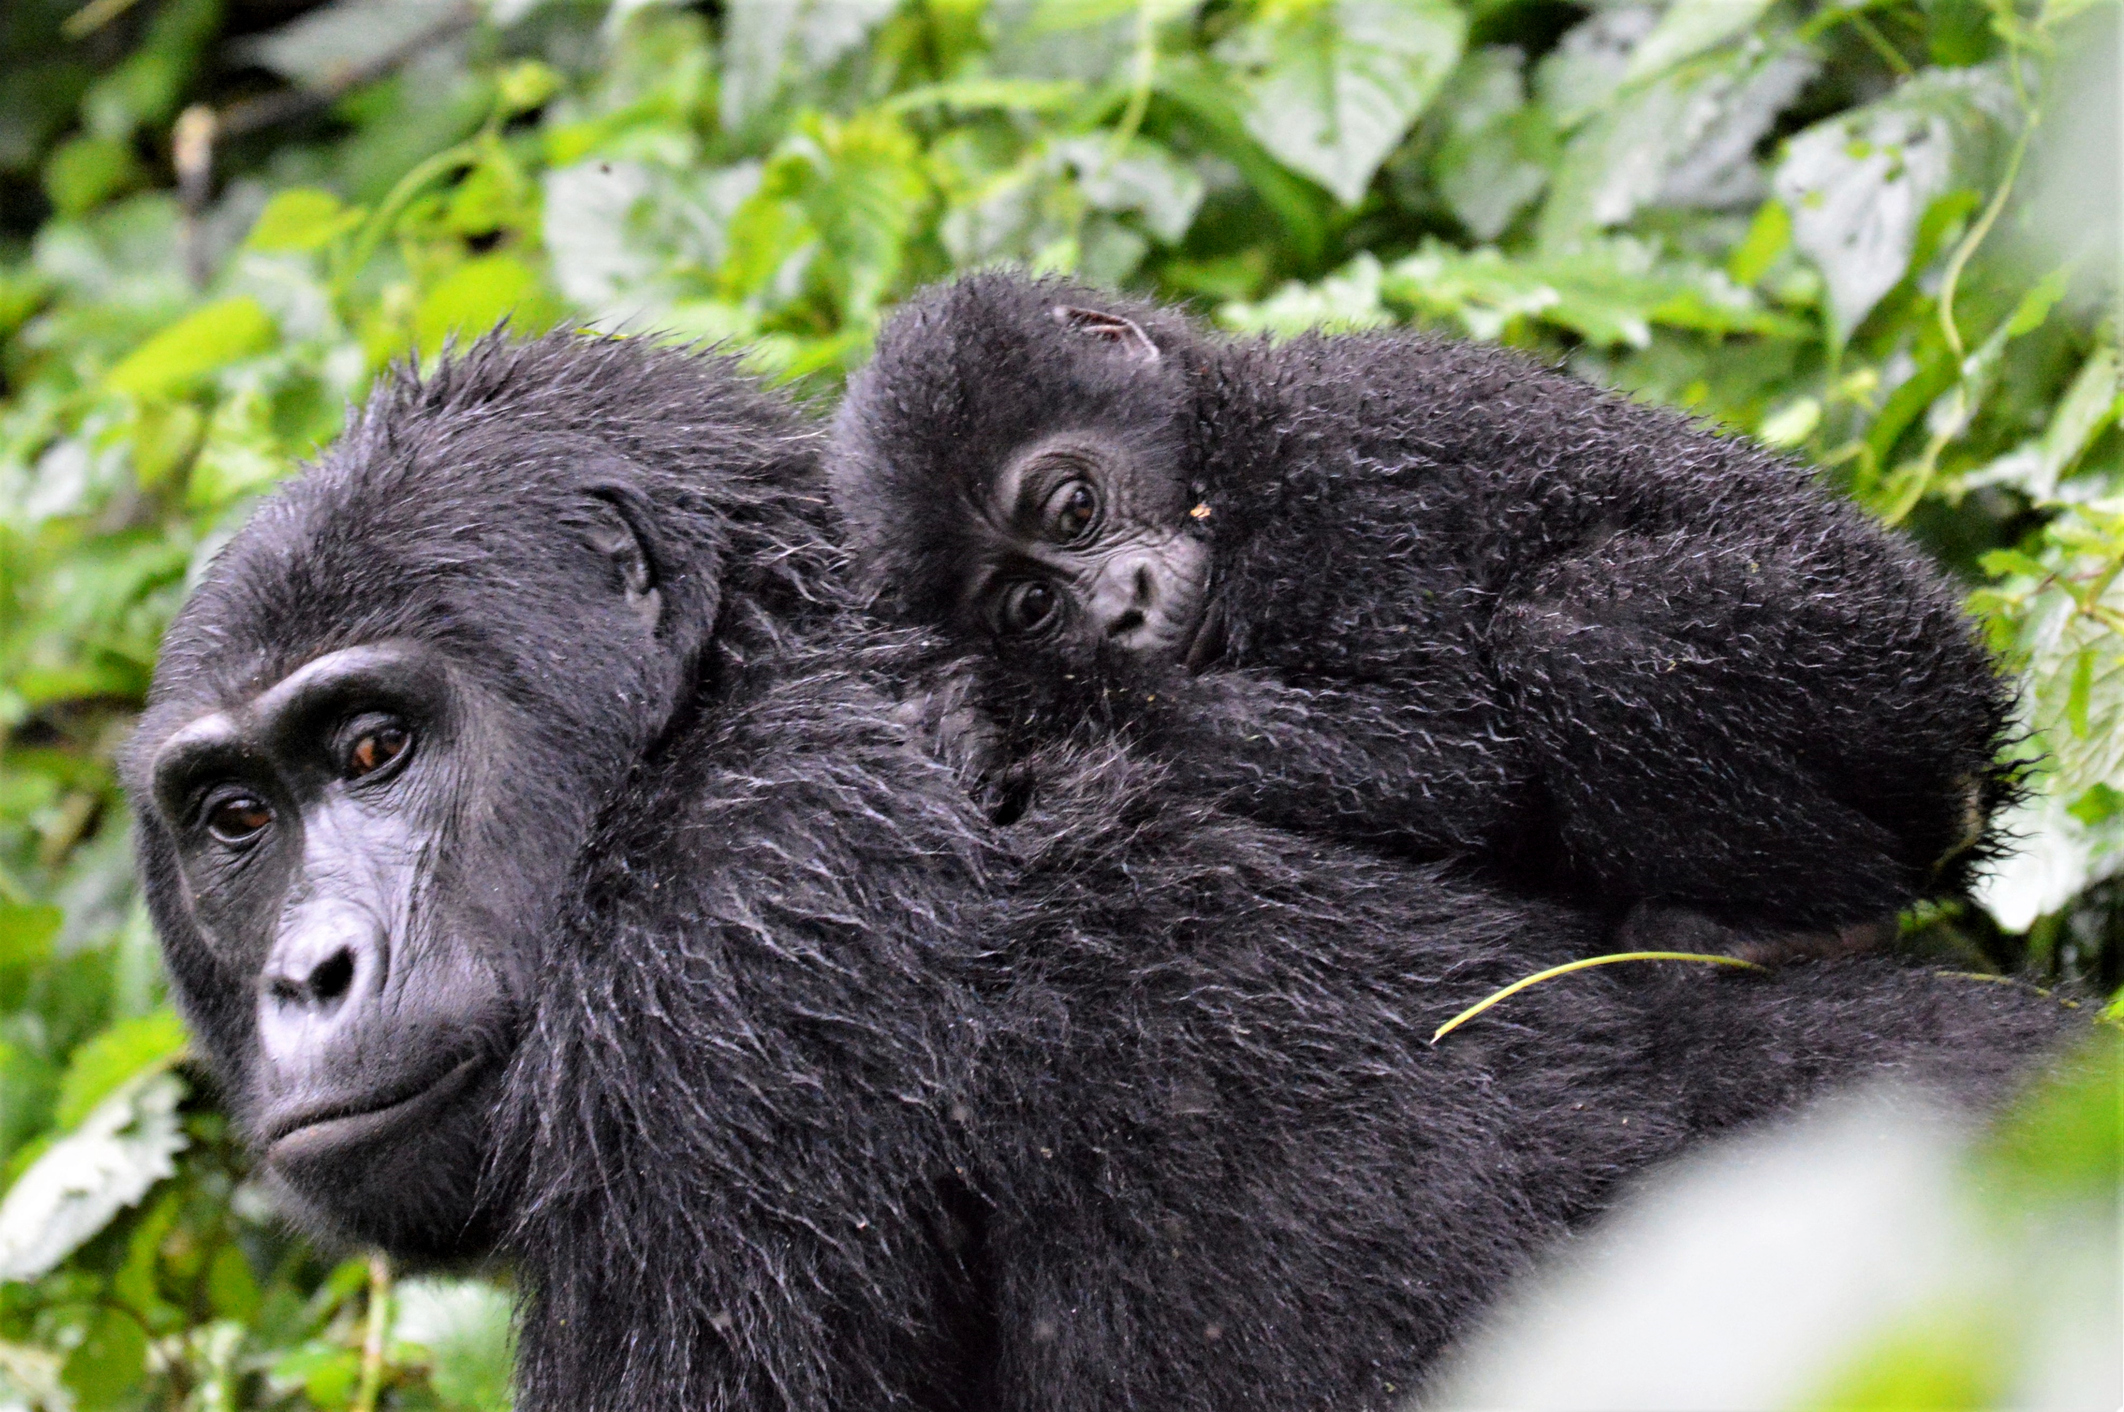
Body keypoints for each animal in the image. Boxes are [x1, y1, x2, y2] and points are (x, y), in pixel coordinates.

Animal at [828, 276, 2005, 934]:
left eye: (1073, 506)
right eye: (1030, 604)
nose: (1120, 607)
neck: (1225, 449)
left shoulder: (1342, 477)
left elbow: (1455, 757)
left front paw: (1019, 705)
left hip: (1886, 670)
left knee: (1590, 632)